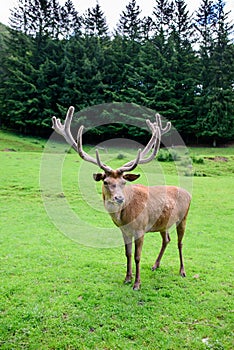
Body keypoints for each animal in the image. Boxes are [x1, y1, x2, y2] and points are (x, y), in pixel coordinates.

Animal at [52, 106, 191, 290]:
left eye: (124, 182)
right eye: (106, 181)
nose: (119, 198)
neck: (124, 217)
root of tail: (189, 193)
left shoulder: (140, 229)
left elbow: (138, 256)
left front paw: (137, 283)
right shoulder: (124, 230)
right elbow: (128, 253)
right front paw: (127, 278)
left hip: (183, 218)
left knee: (180, 242)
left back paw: (182, 271)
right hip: (163, 223)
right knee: (166, 239)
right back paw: (155, 265)